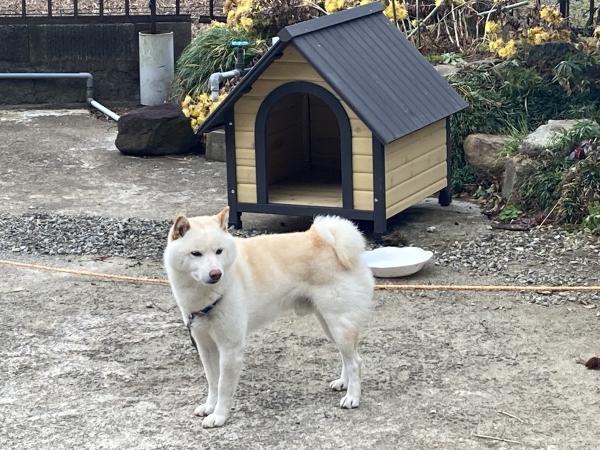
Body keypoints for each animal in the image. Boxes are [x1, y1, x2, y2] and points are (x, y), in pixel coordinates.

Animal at [164, 207, 374, 428]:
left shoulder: (230, 349)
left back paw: (353, 397)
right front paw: (209, 406)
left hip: (339, 324)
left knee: (355, 361)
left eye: (219, 251)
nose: (215, 273)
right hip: (329, 325)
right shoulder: (205, 346)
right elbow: (213, 382)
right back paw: (344, 383)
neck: (207, 294)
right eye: (196, 253)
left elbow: (223, 387)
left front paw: (219, 416)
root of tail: (328, 239)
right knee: (348, 356)